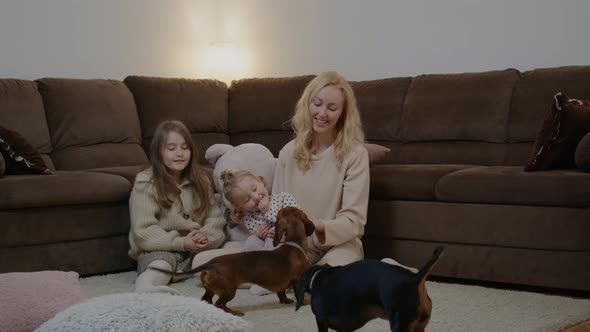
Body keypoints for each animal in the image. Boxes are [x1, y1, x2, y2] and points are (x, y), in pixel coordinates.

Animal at [155, 205, 316, 316]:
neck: (294, 245)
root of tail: (211, 263)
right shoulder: (298, 279)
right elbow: (298, 294)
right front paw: (305, 302)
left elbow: (281, 293)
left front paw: (285, 301)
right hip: (229, 290)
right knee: (219, 303)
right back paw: (234, 312)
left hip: (211, 289)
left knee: (207, 300)